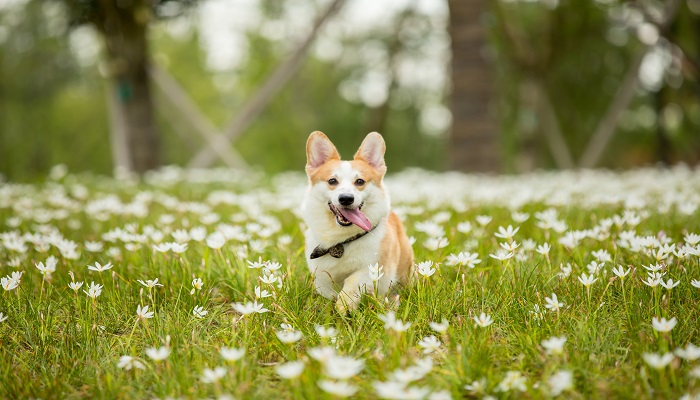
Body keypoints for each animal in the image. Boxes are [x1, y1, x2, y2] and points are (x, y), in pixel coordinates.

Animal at [302, 131, 412, 312]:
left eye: (359, 181)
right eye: (332, 181)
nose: (346, 198)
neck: (341, 241)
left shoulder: (371, 268)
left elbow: (353, 282)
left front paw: (344, 306)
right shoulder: (321, 277)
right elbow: (328, 291)